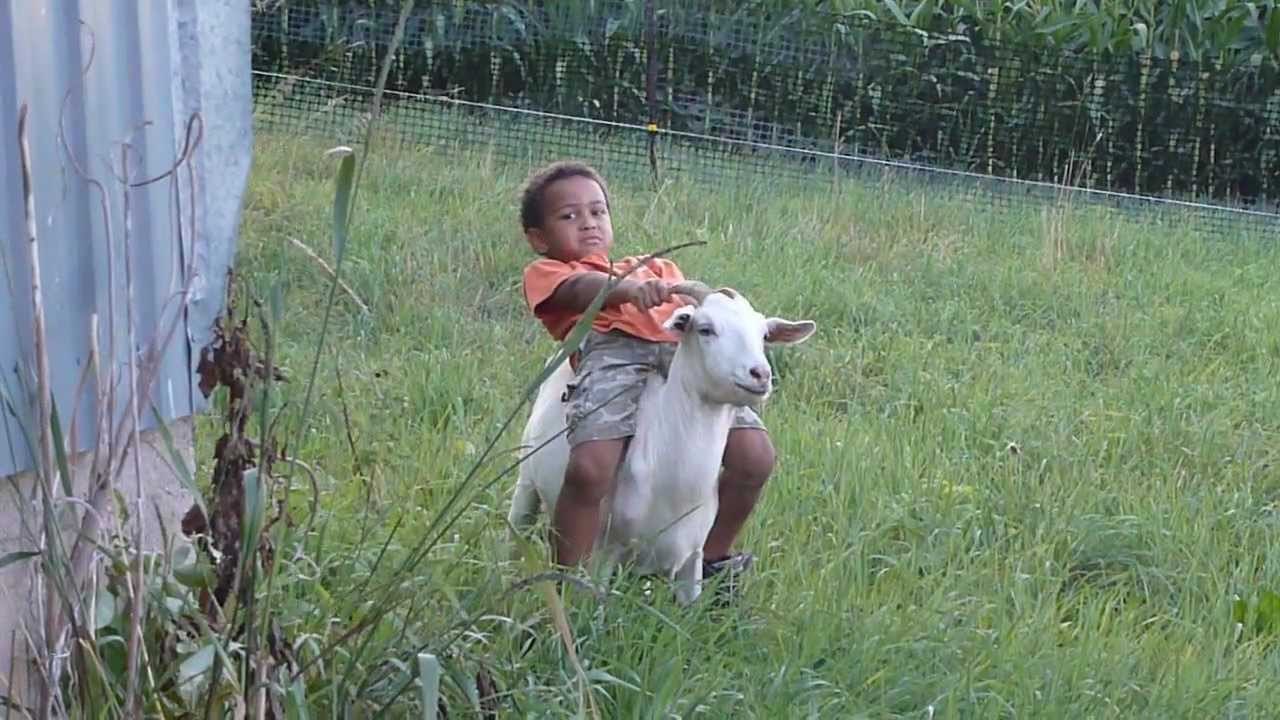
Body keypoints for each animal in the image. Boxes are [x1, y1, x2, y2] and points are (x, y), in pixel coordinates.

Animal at [507, 281, 816, 604]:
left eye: (764, 335)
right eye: (705, 329)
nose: (760, 374)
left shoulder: (691, 561)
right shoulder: (605, 554)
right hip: (528, 481)